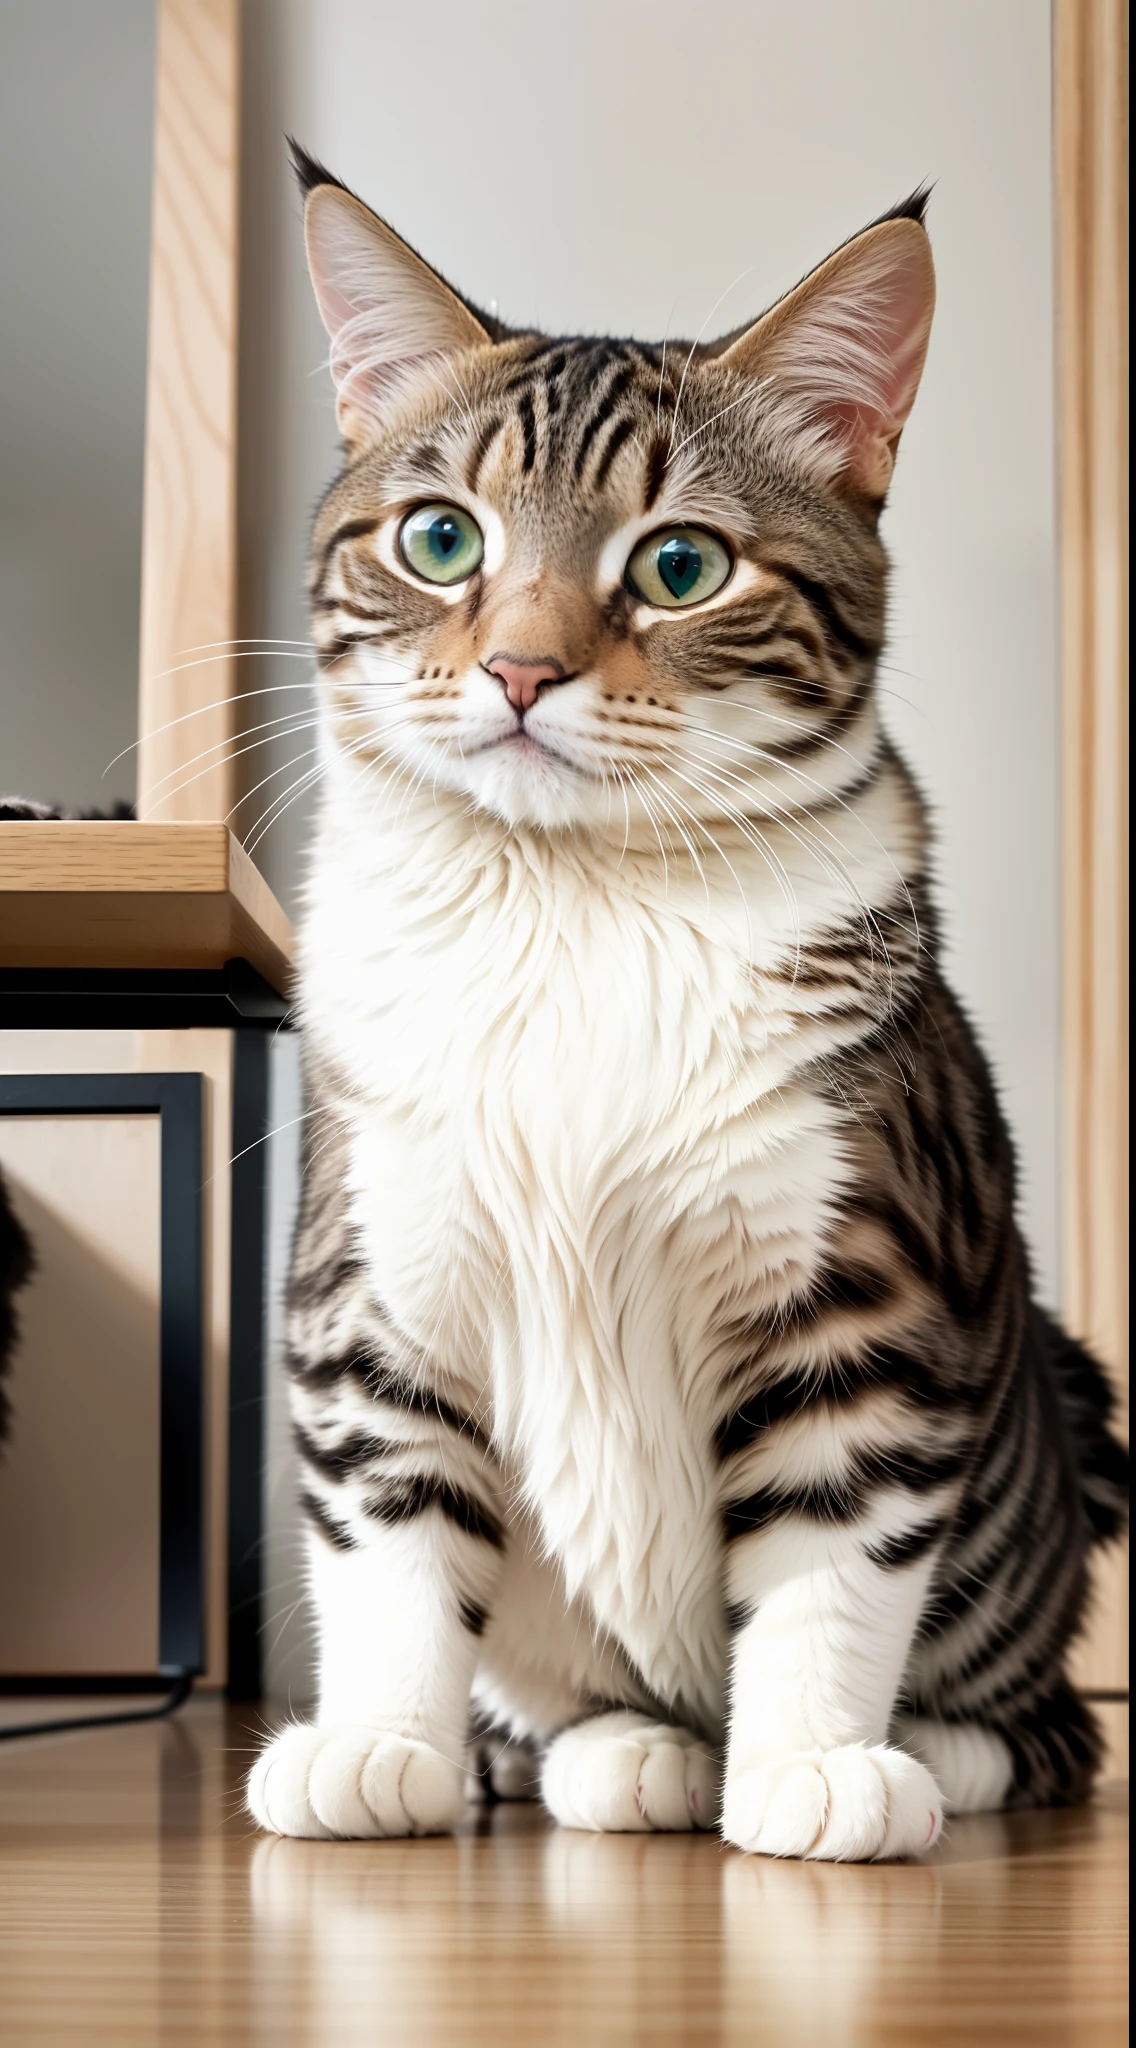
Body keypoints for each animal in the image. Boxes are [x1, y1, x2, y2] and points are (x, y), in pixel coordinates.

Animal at [244, 151, 1121, 1867]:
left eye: (680, 566)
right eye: (439, 539)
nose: (521, 670)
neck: (571, 906)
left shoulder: (862, 1287)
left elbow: (836, 1551)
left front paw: (815, 1765)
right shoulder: (373, 1275)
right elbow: (388, 1538)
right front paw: (377, 1743)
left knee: (1047, 1724)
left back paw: (902, 1750)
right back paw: (600, 1748)